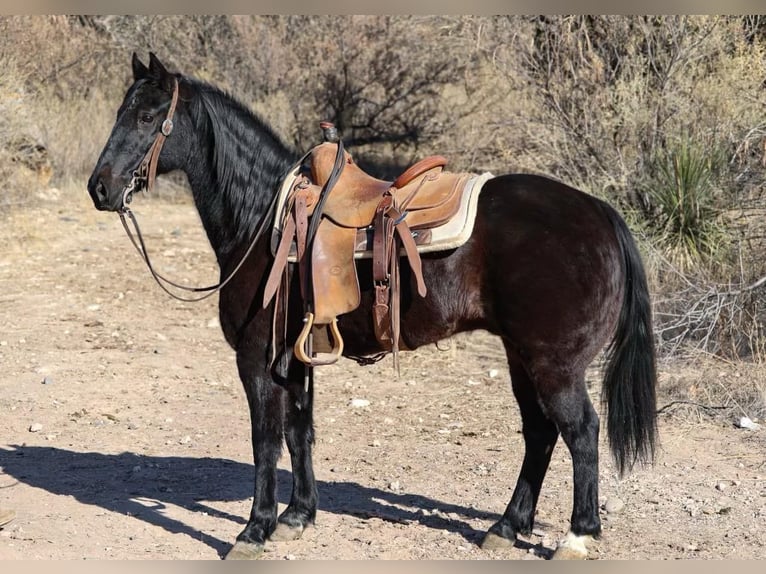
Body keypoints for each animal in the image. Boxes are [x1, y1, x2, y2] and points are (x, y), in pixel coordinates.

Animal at [87, 51, 656, 560]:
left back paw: (577, 536)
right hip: (521, 357)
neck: (262, 218)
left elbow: (264, 439)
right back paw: (506, 527)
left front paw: (254, 530)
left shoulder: (256, 358)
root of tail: (600, 212)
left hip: (554, 366)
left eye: (146, 116)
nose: (100, 188)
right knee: (540, 433)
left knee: (580, 432)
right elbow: (299, 430)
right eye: (121, 111)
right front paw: (297, 516)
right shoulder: (294, 357)